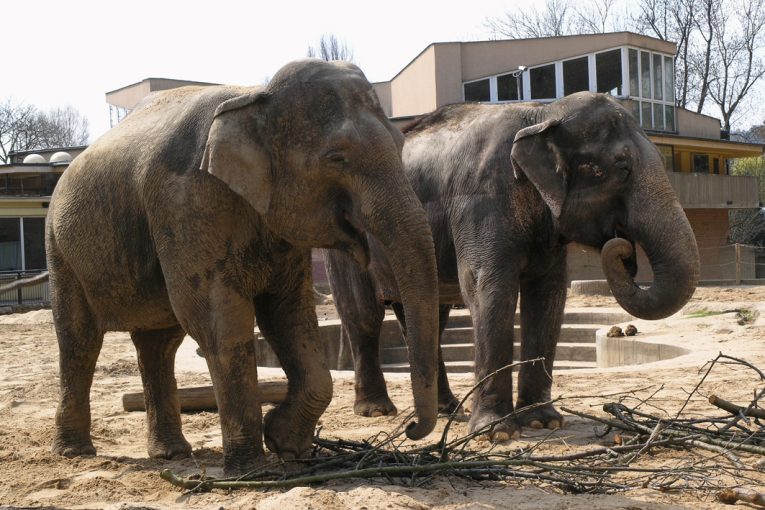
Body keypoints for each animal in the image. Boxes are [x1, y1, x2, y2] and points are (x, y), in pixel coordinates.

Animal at [46, 59, 439, 475]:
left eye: (400, 146)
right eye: (337, 158)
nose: (411, 427)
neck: (255, 98)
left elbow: (288, 314)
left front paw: (285, 444)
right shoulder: (185, 203)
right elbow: (220, 321)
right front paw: (253, 468)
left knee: (159, 343)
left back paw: (171, 454)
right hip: (59, 247)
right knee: (80, 340)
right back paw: (74, 453)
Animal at [325, 91, 700, 441]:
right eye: (622, 168)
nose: (623, 249)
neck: (542, 114)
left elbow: (548, 297)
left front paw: (543, 421)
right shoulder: (481, 201)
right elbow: (489, 289)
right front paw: (497, 433)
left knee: (428, 318)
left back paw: (448, 409)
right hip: (344, 240)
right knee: (363, 315)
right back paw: (376, 410)